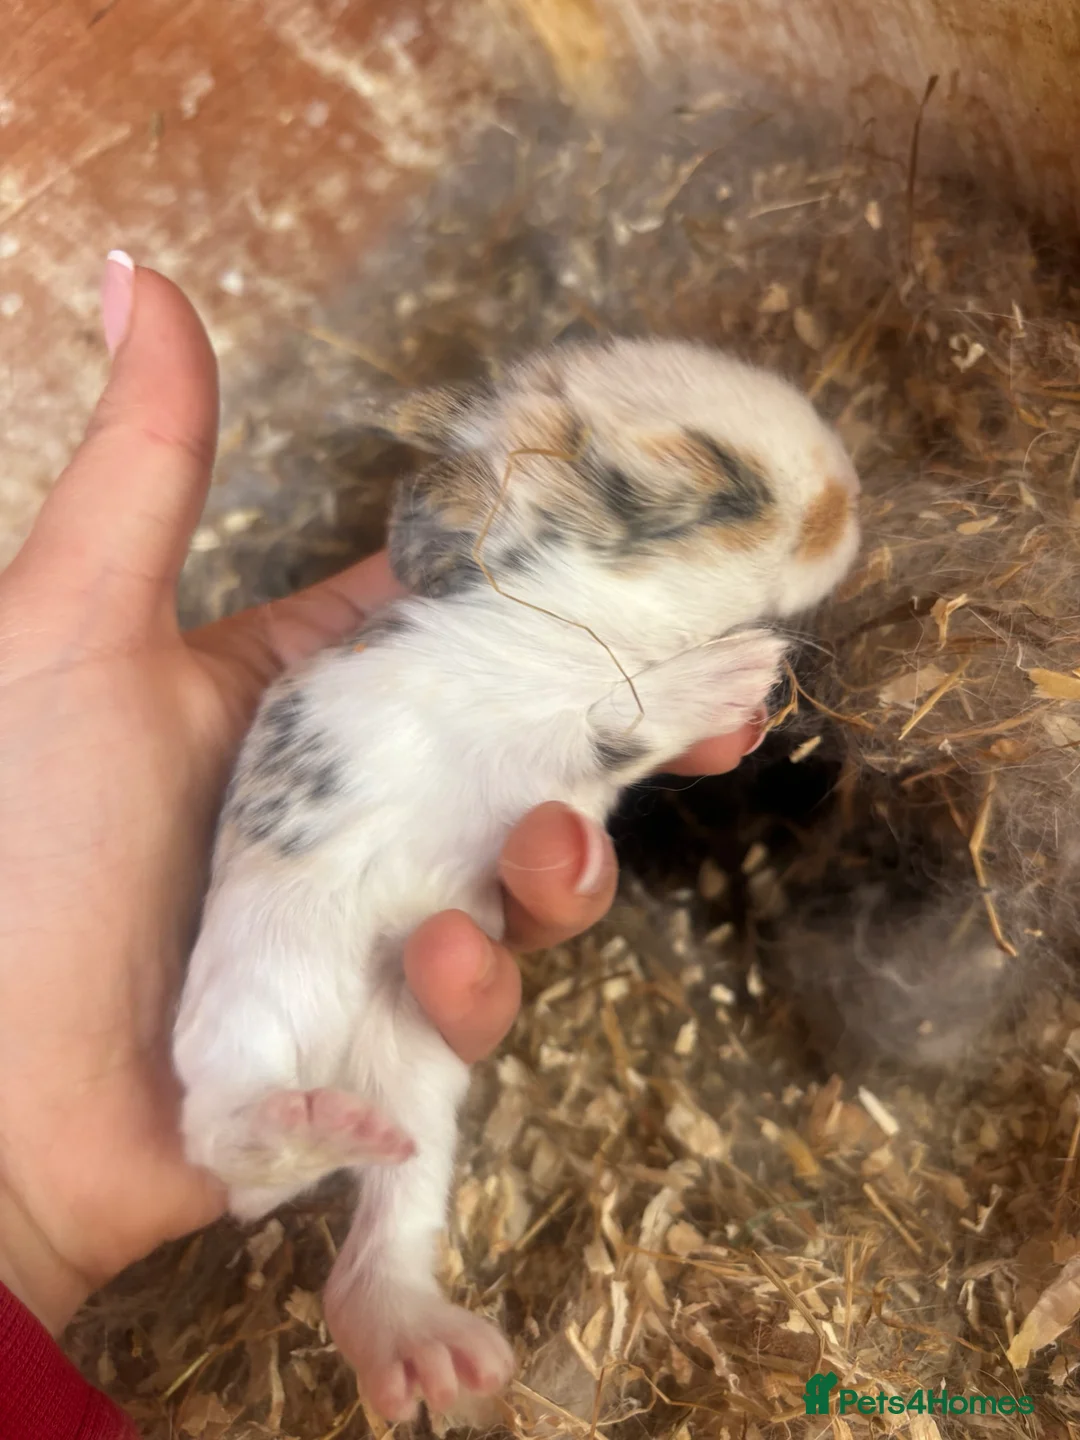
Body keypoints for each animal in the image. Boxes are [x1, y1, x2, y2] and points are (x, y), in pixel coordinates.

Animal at [171, 336, 862, 1421]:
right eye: (722, 485)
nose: (851, 497)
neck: (573, 621)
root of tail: (333, 1074)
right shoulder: (543, 725)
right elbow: (615, 712)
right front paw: (736, 675)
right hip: (259, 999)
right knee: (227, 1142)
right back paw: (305, 1127)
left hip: (418, 1081)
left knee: (374, 1241)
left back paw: (432, 1356)